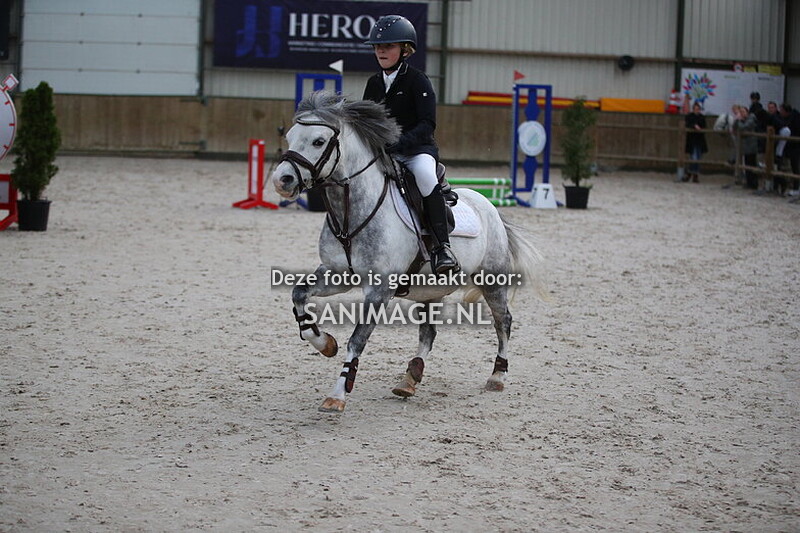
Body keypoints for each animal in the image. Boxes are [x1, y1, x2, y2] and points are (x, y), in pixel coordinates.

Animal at [272, 90, 543, 413]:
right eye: (290, 136)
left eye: (318, 141)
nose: (282, 180)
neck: (350, 213)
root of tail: (488, 205)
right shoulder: (337, 274)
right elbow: (299, 295)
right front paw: (324, 343)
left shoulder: (379, 290)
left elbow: (357, 339)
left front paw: (337, 394)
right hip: (431, 290)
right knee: (428, 334)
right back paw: (409, 378)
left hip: (492, 281)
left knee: (503, 321)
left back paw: (497, 376)